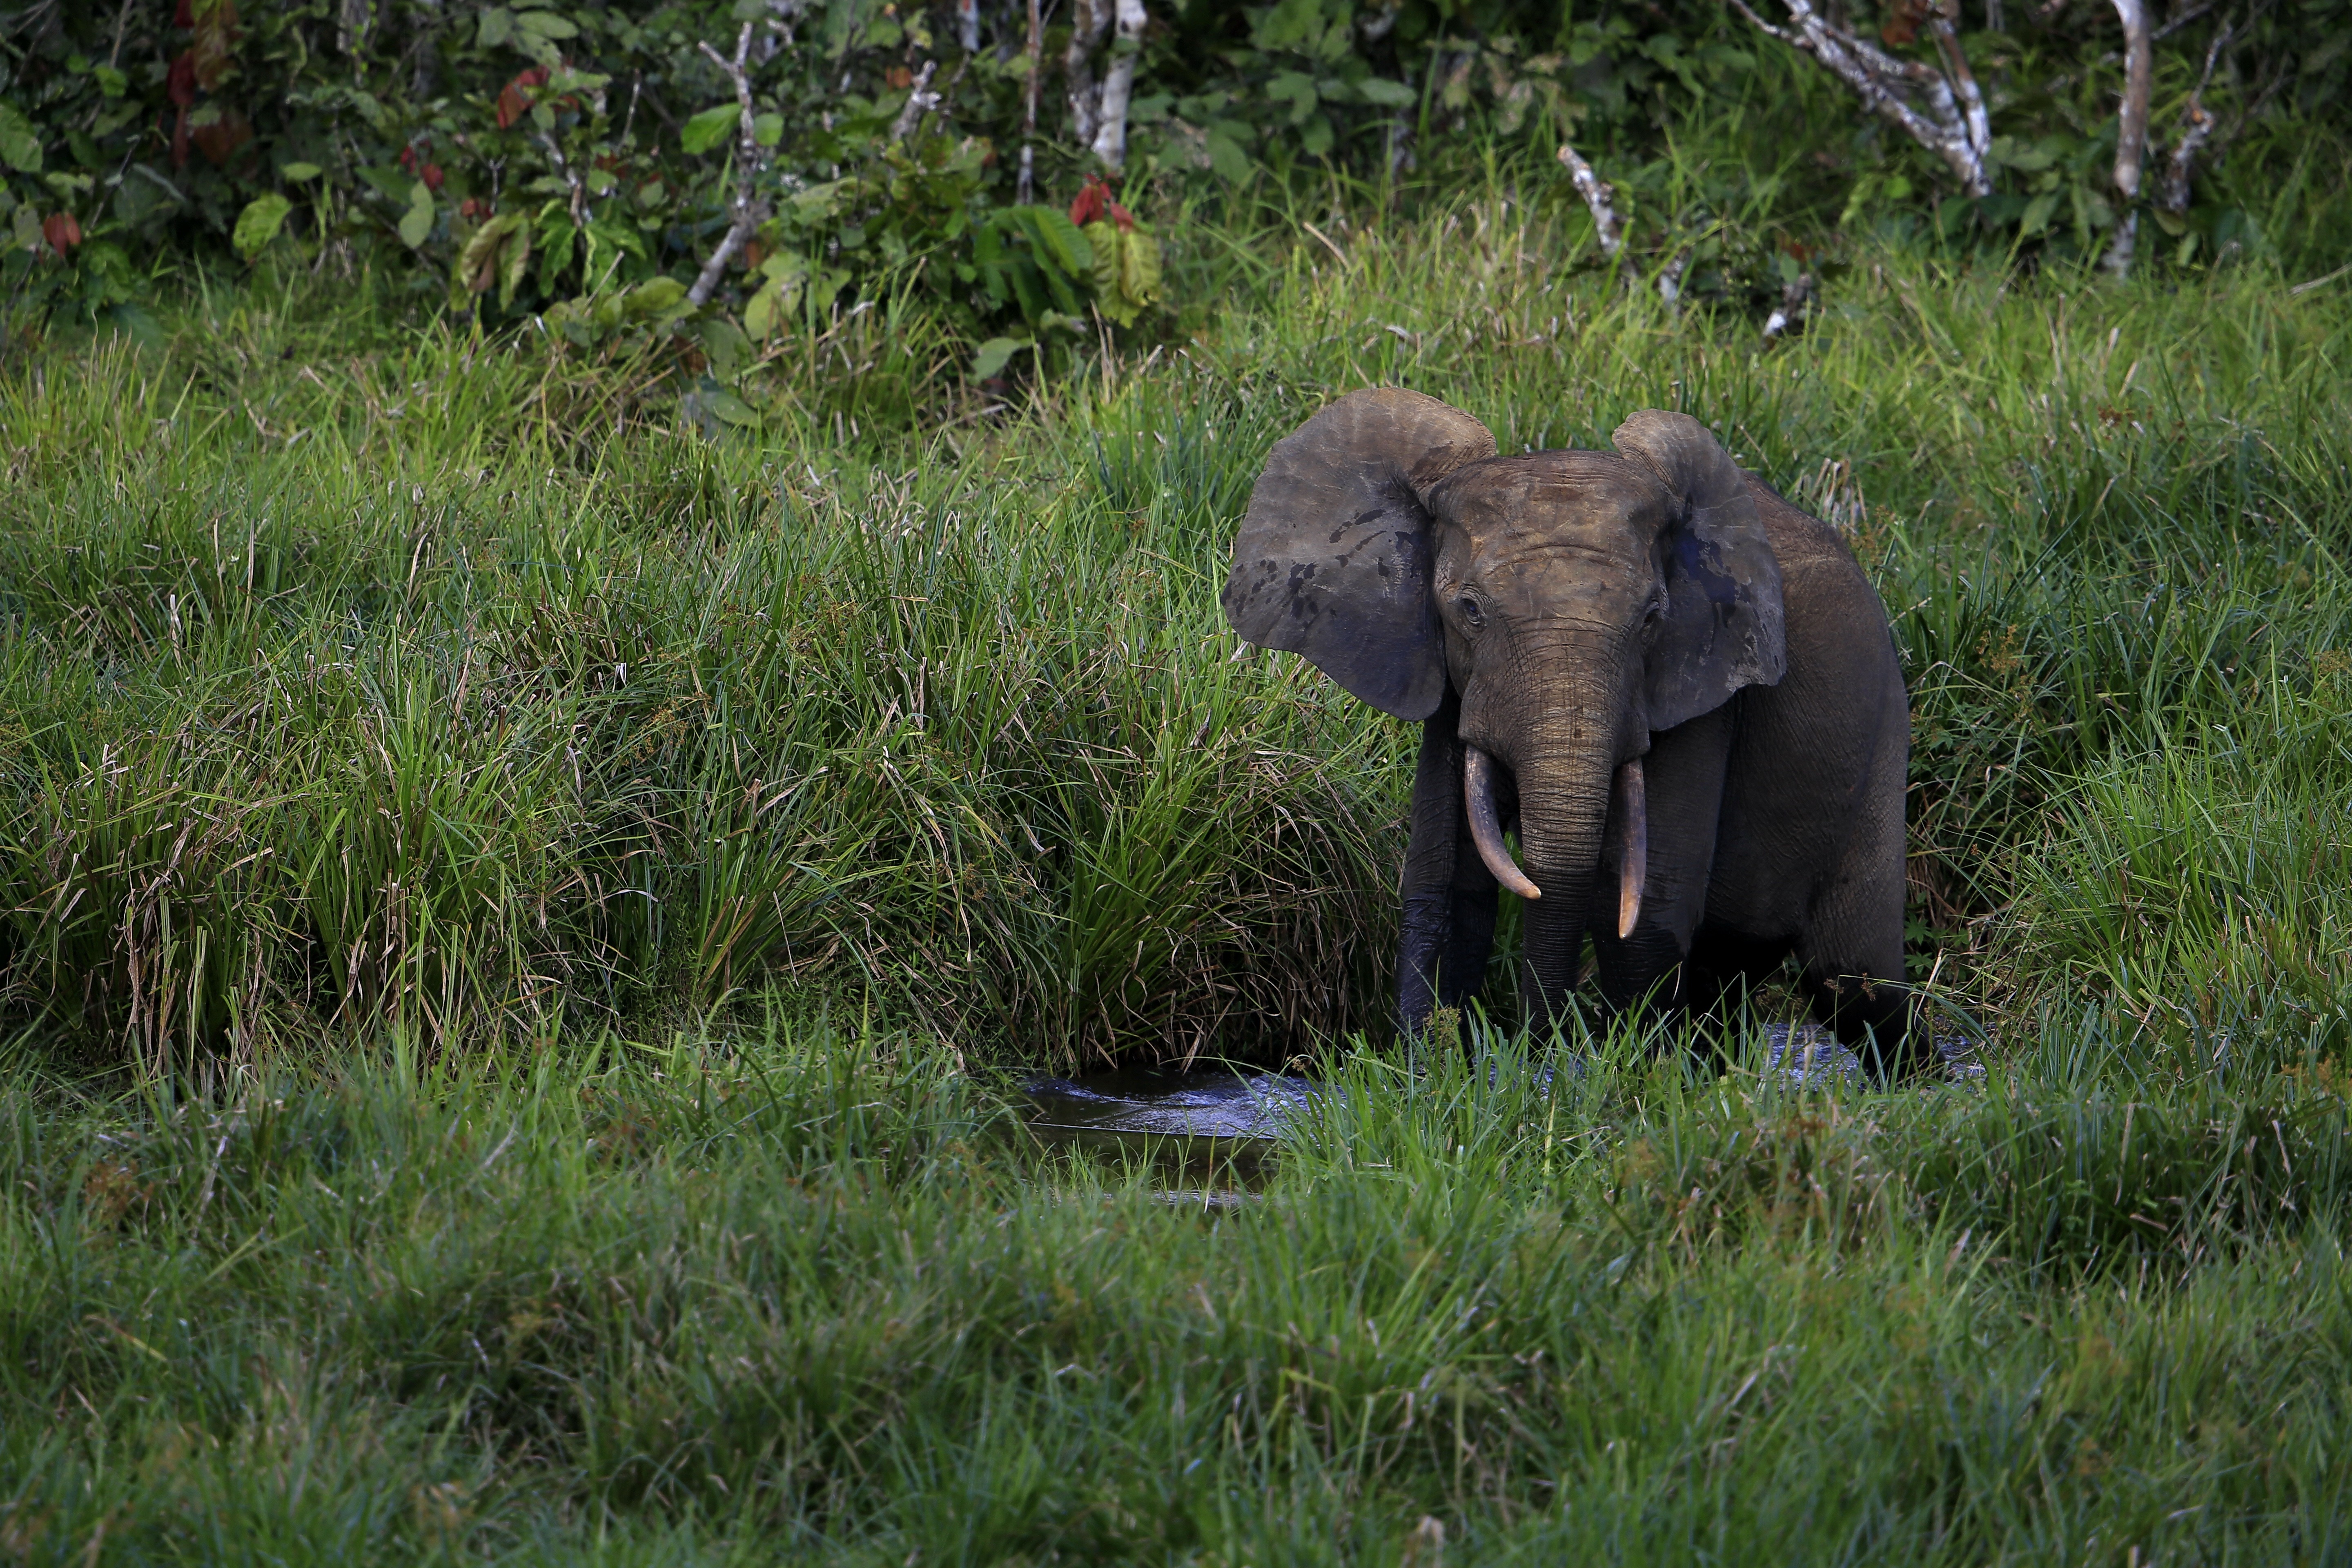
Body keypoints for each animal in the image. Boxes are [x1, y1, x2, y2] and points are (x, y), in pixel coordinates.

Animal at [1223, 390, 1919, 1072]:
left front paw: (1631, 1077)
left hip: (1882, 742)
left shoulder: (1704, 691)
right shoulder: (1449, 685)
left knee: (1859, 985)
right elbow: (1445, 883)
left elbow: (1645, 895)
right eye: (1469, 611)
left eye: (1653, 618)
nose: (1540, 1051)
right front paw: (1433, 1072)